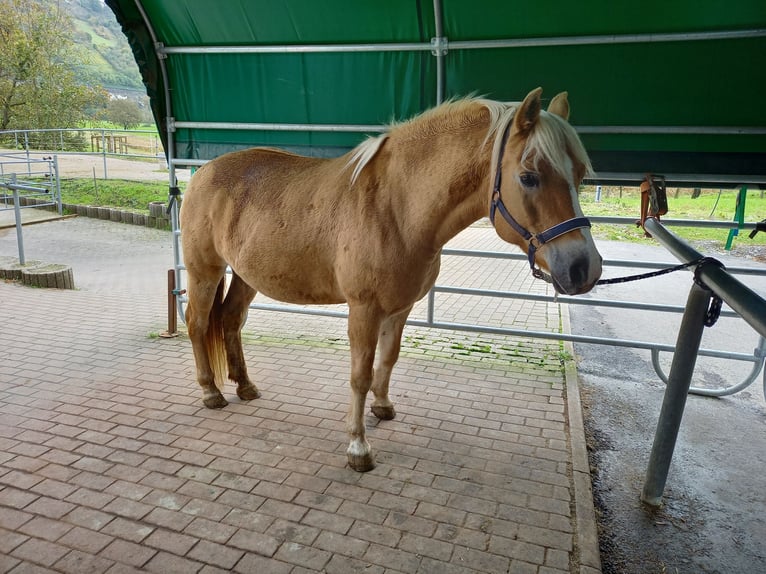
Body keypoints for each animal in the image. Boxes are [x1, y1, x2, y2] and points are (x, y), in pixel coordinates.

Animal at [182, 86, 608, 472]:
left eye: (579, 174)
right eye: (529, 177)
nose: (583, 268)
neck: (394, 209)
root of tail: (203, 173)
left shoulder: (400, 308)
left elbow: (387, 360)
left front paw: (383, 407)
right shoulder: (364, 309)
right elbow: (359, 374)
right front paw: (358, 448)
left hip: (244, 275)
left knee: (231, 320)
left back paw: (244, 386)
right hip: (204, 271)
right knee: (198, 322)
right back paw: (210, 391)